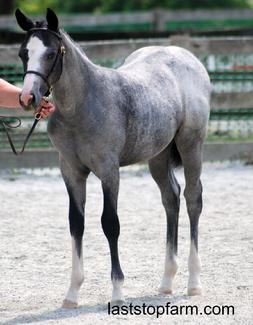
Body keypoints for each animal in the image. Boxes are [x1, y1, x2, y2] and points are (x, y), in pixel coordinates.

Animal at [15, 7, 210, 306]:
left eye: (50, 53)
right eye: (23, 53)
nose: (28, 97)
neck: (82, 106)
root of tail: (189, 58)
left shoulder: (109, 170)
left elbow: (110, 223)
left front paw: (117, 291)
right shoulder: (70, 171)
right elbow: (76, 223)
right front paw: (72, 293)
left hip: (191, 145)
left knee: (192, 199)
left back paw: (194, 282)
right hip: (158, 154)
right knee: (171, 198)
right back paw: (166, 281)